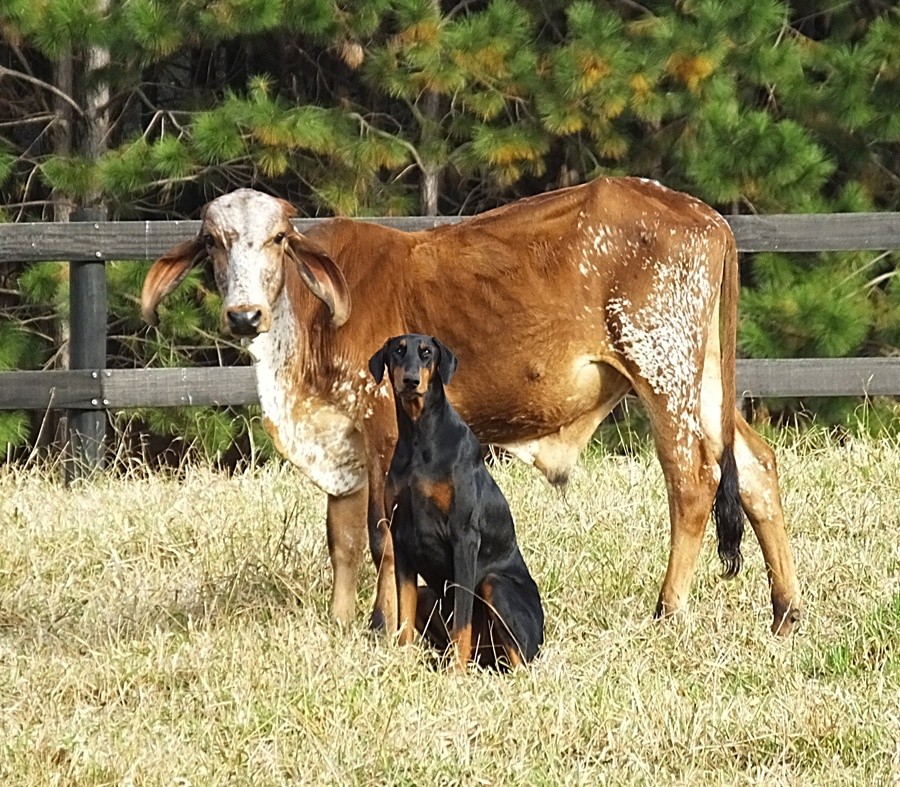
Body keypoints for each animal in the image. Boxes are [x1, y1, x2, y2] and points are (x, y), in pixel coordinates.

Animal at [144, 175, 804, 636]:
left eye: (278, 240)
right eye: (213, 243)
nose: (243, 315)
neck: (308, 324)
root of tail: (708, 217)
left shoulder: (383, 430)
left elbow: (383, 537)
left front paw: (385, 626)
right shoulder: (342, 441)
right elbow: (343, 539)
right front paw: (341, 625)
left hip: (660, 366)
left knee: (692, 481)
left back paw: (668, 611)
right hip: (704, 375)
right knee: (756, 469)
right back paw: (785, 612)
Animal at [366, 332, 540, 672]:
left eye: (426, 353)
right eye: (397, 351)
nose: (410, 380)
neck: (419, 438)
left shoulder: (464, 537)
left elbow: (462, 617)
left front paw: (456, 672)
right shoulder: (401, 538)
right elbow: (404, 611)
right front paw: (404, 661)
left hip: (495, 585)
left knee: (520, 659)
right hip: (428, 596)